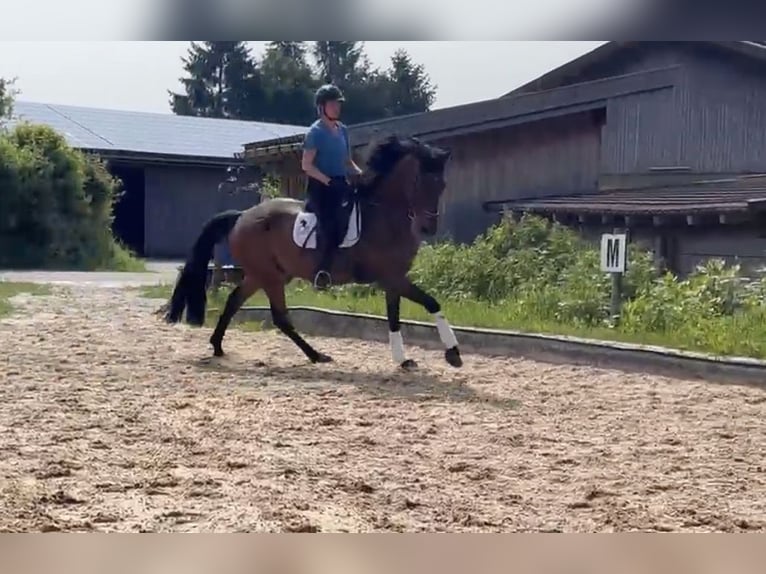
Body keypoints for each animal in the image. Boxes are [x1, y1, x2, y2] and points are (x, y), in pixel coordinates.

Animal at [163, 135, 463, 370]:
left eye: (443, 186)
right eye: (420, 182)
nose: (428, 227)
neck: (385, 214)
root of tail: (241, 217)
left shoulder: (394, 278)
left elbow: (396, 316)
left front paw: (403, 359)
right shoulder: (390, 277)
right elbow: (431, 303)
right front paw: (453, 353)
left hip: (264, 274)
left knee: (234, 301)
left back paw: (218, 347)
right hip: (270, 277)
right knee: (280, 318)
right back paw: (316, 355)